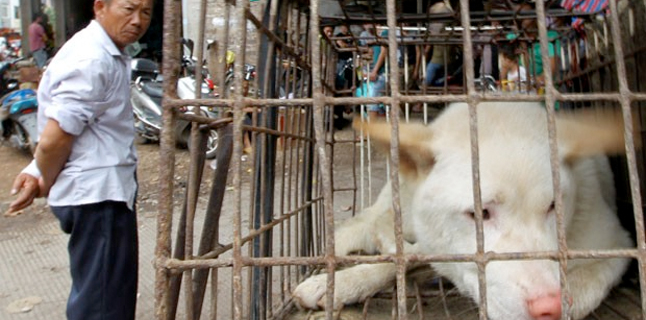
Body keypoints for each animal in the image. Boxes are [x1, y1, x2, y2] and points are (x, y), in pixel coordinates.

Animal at [294, 102, 636, 320]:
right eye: (480, 213)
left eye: (554, 207)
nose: (549, 305)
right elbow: (399, 260)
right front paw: (341, 283)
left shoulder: (615, 246)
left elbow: (582, 288)